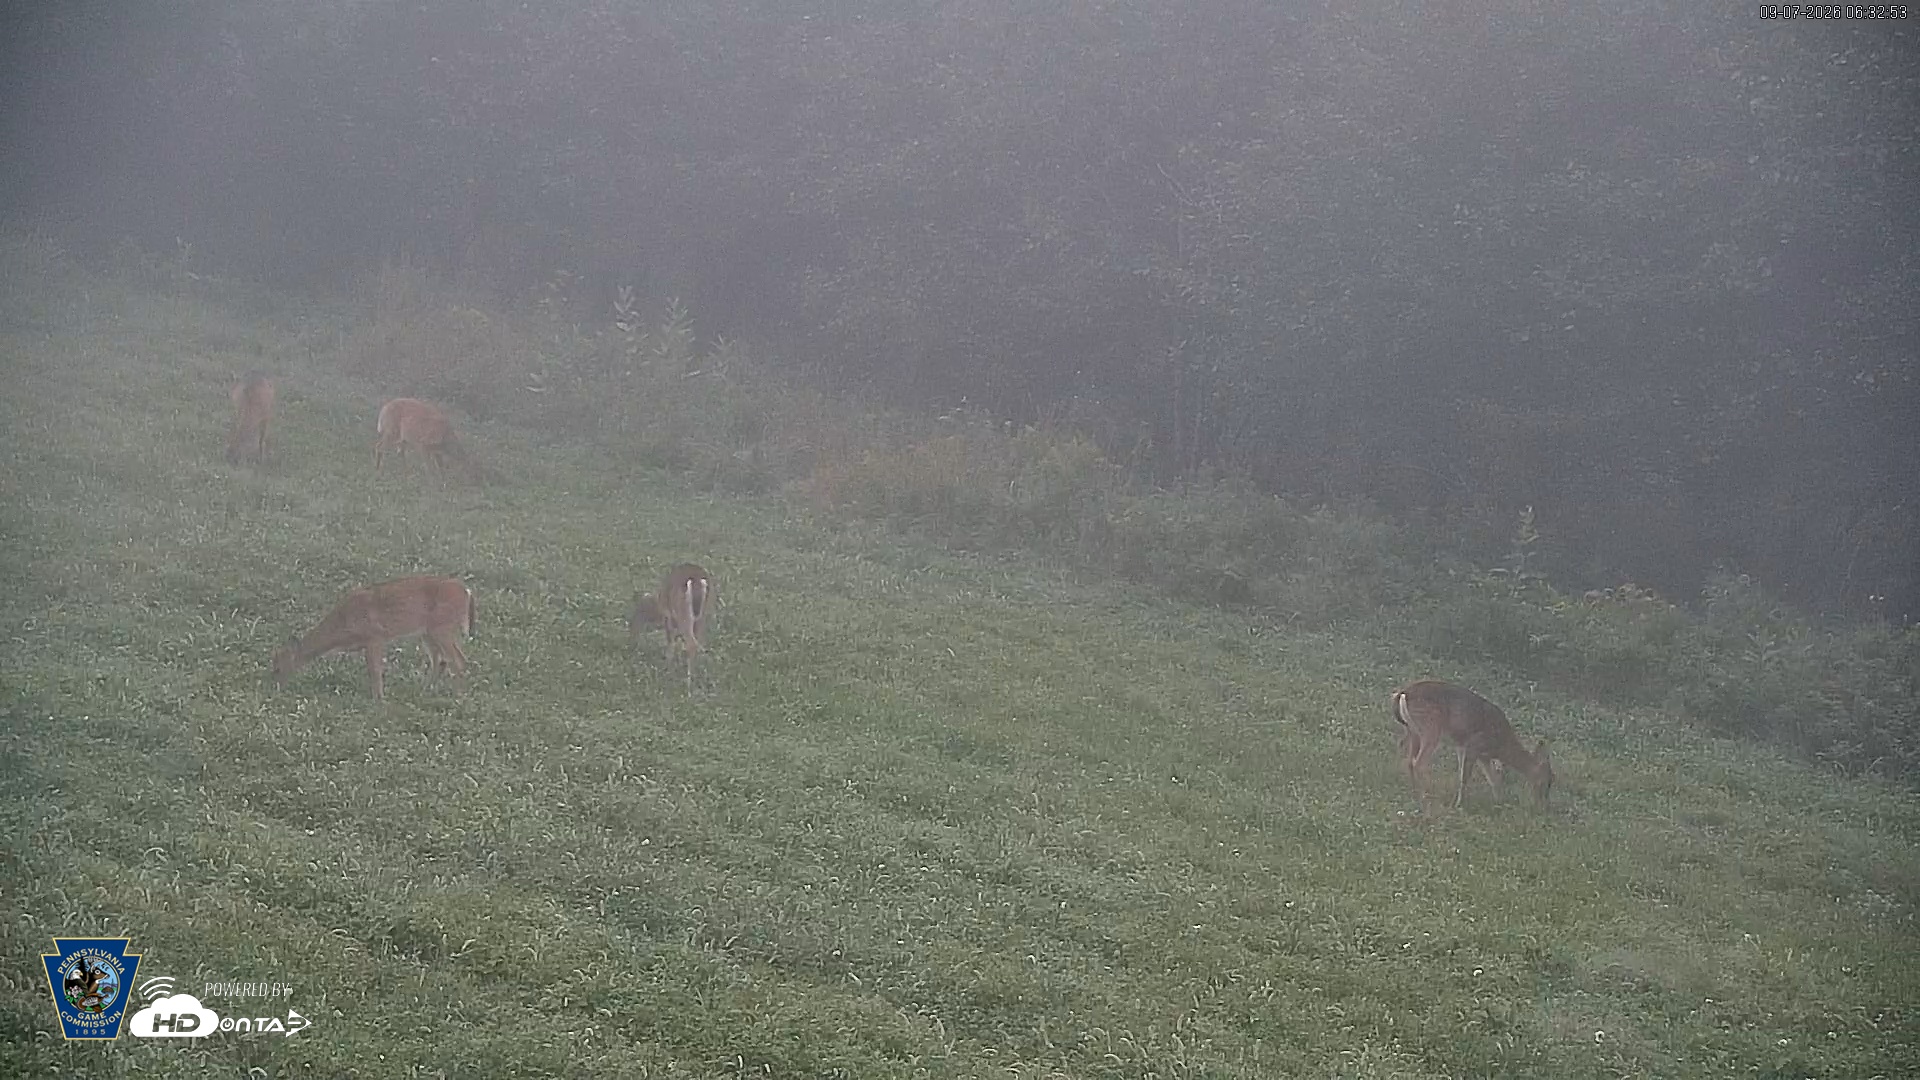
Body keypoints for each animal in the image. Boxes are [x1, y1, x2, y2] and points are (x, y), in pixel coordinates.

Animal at [272, 576, 474, 701]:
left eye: (278, 668)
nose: (275, 688)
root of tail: (467, 592)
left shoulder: (374, 637)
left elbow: (375, 670)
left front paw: (378, 699)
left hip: (442, 628)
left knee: (458, 660)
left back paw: (458, 697)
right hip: (429, 632)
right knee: (442, 661)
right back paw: (423, 691)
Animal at [630, 563, 714, 691]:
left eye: (639, 610)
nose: (632, 631)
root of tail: (696, 580)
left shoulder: (668, 617)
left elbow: (671, 642)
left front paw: (668, 669)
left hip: (683, 612)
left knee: (691, 643)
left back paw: (688, 682)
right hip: (702, 615)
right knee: (697, 641)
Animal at [1392, 679, 1553, 809]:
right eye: (1546, 781)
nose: (1544, 805)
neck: (1500, 745)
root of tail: (1403, 693)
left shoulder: (1475, 752)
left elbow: (1493, 779)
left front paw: (1499, 803)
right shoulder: (1473, 746)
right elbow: (1465, 777)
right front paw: (1459, 804)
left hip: (1413, 731)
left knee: (1408, 761)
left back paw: (1414, 794)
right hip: (1430, 727)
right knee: (1419, 762)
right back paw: (1426, 796)